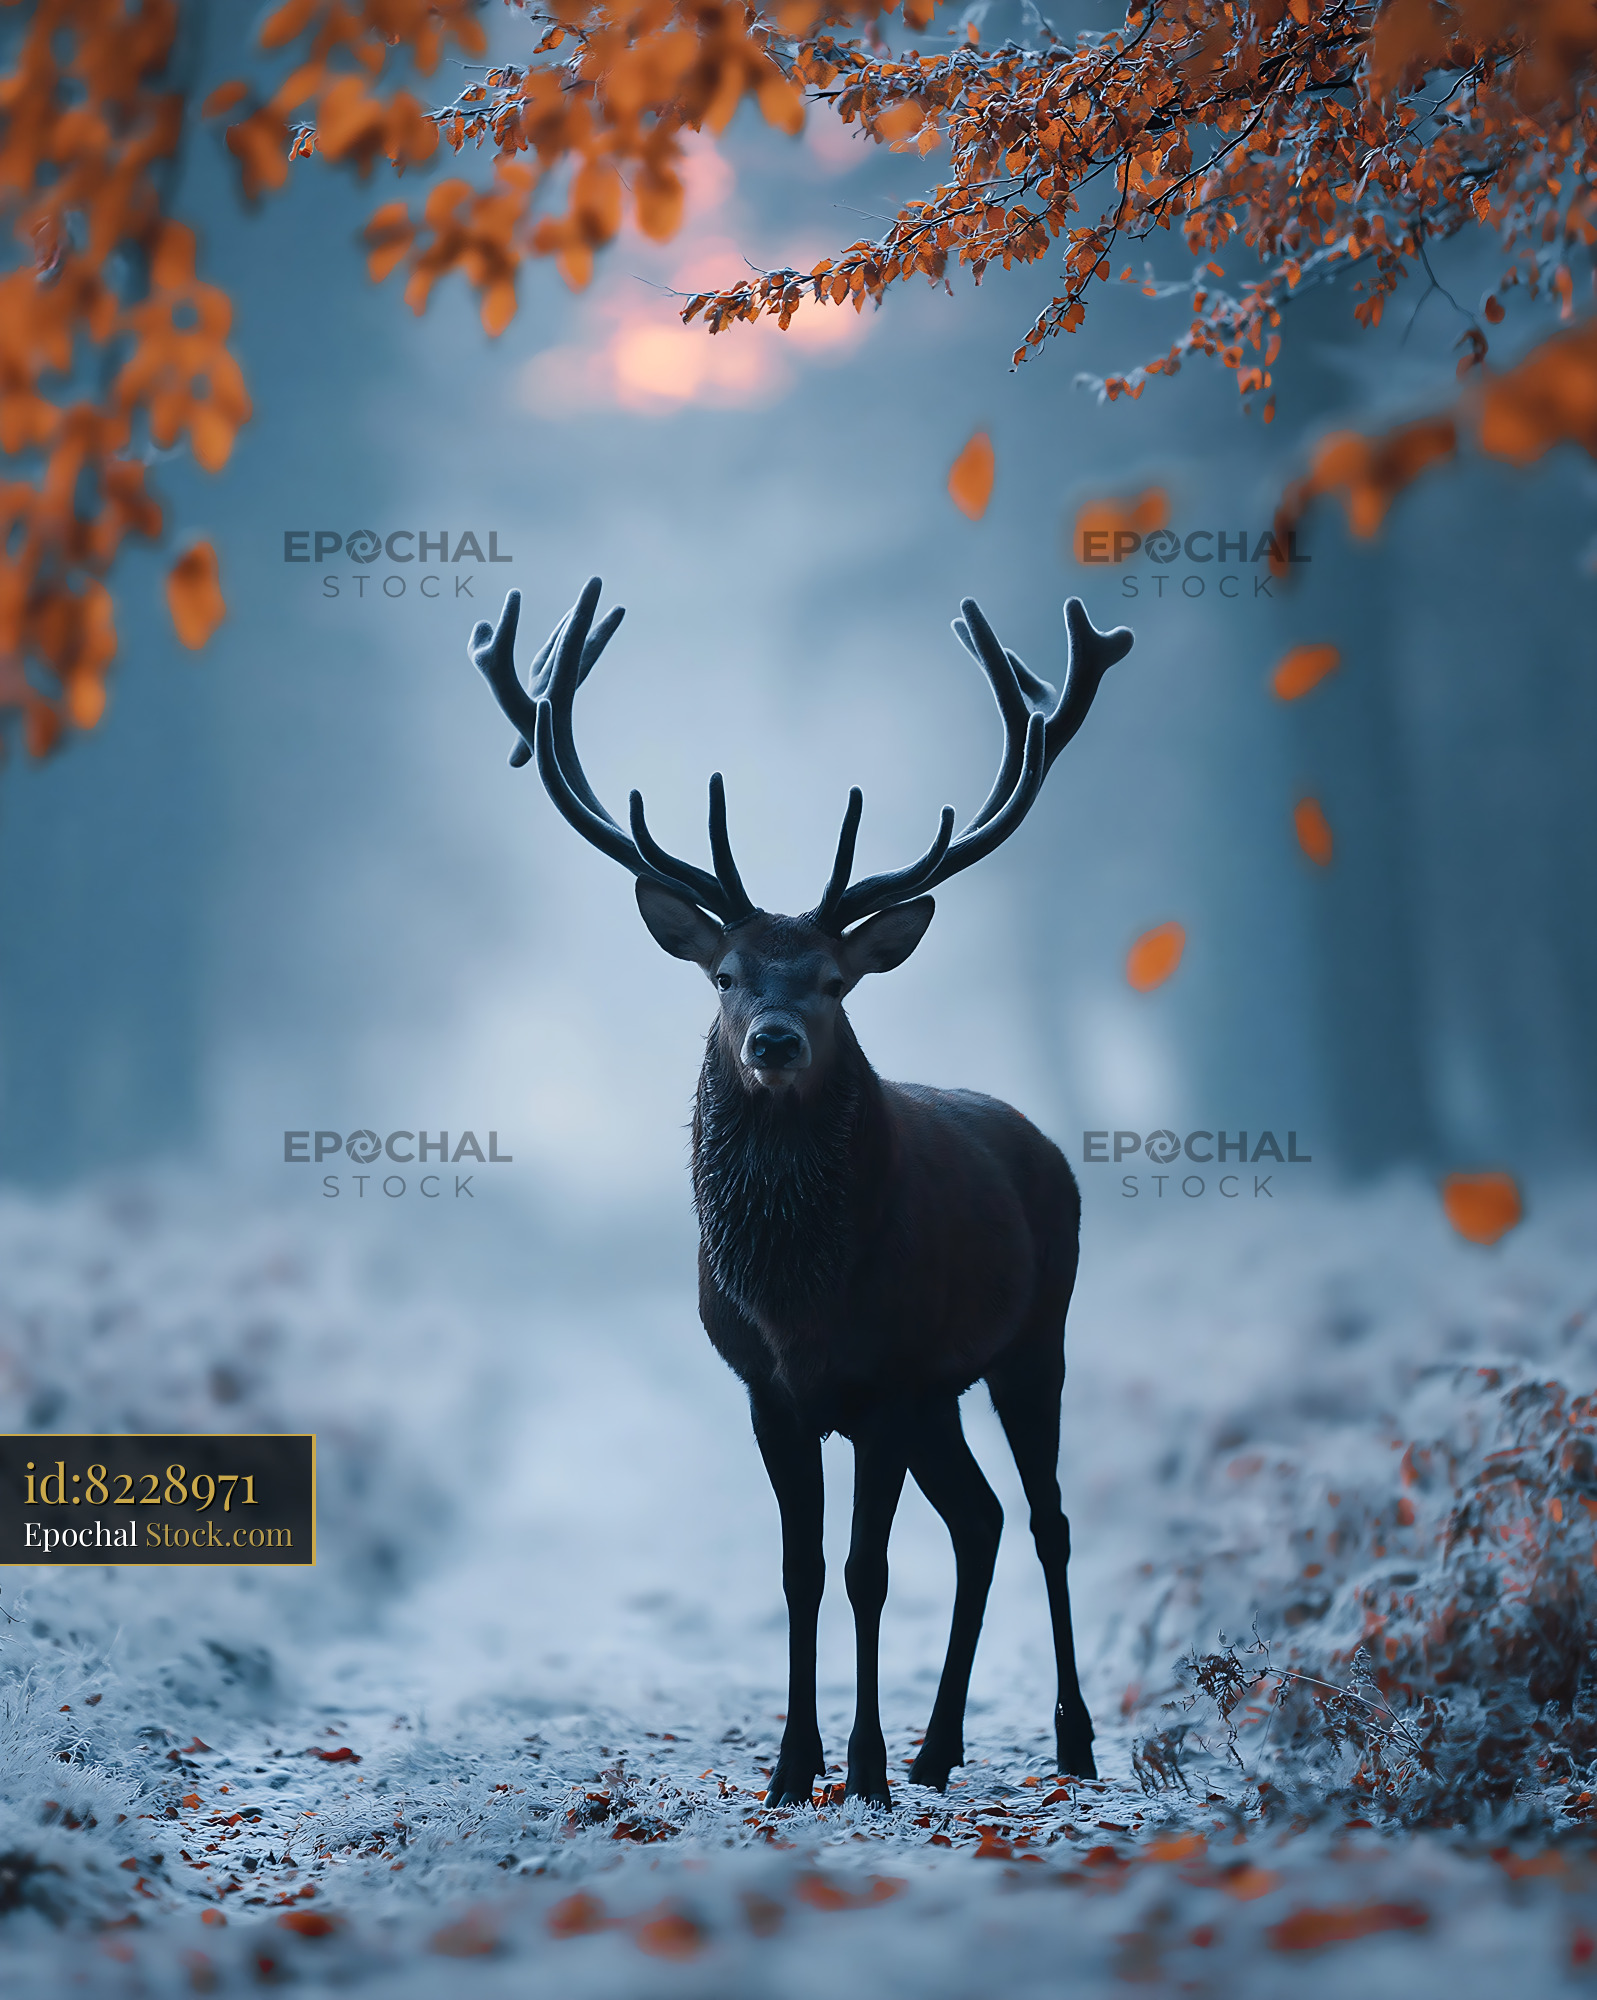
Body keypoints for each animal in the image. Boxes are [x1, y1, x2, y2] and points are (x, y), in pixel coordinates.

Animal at [468, 576, 1133, 1808]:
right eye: (726, 976)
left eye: (831, 980)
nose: (771, 1039)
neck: (797, 1300)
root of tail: (1044, 1147)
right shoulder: (771, 1389)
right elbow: (801, 1567)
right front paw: (794, 1764)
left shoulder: (882, 1378)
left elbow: (869, 1569)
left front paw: (858, 1766)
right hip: (943, 1393)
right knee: (978, 1518)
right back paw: (938, 1745)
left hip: (1032, 1339)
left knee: (1045, 1518)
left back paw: (1068, 1741)